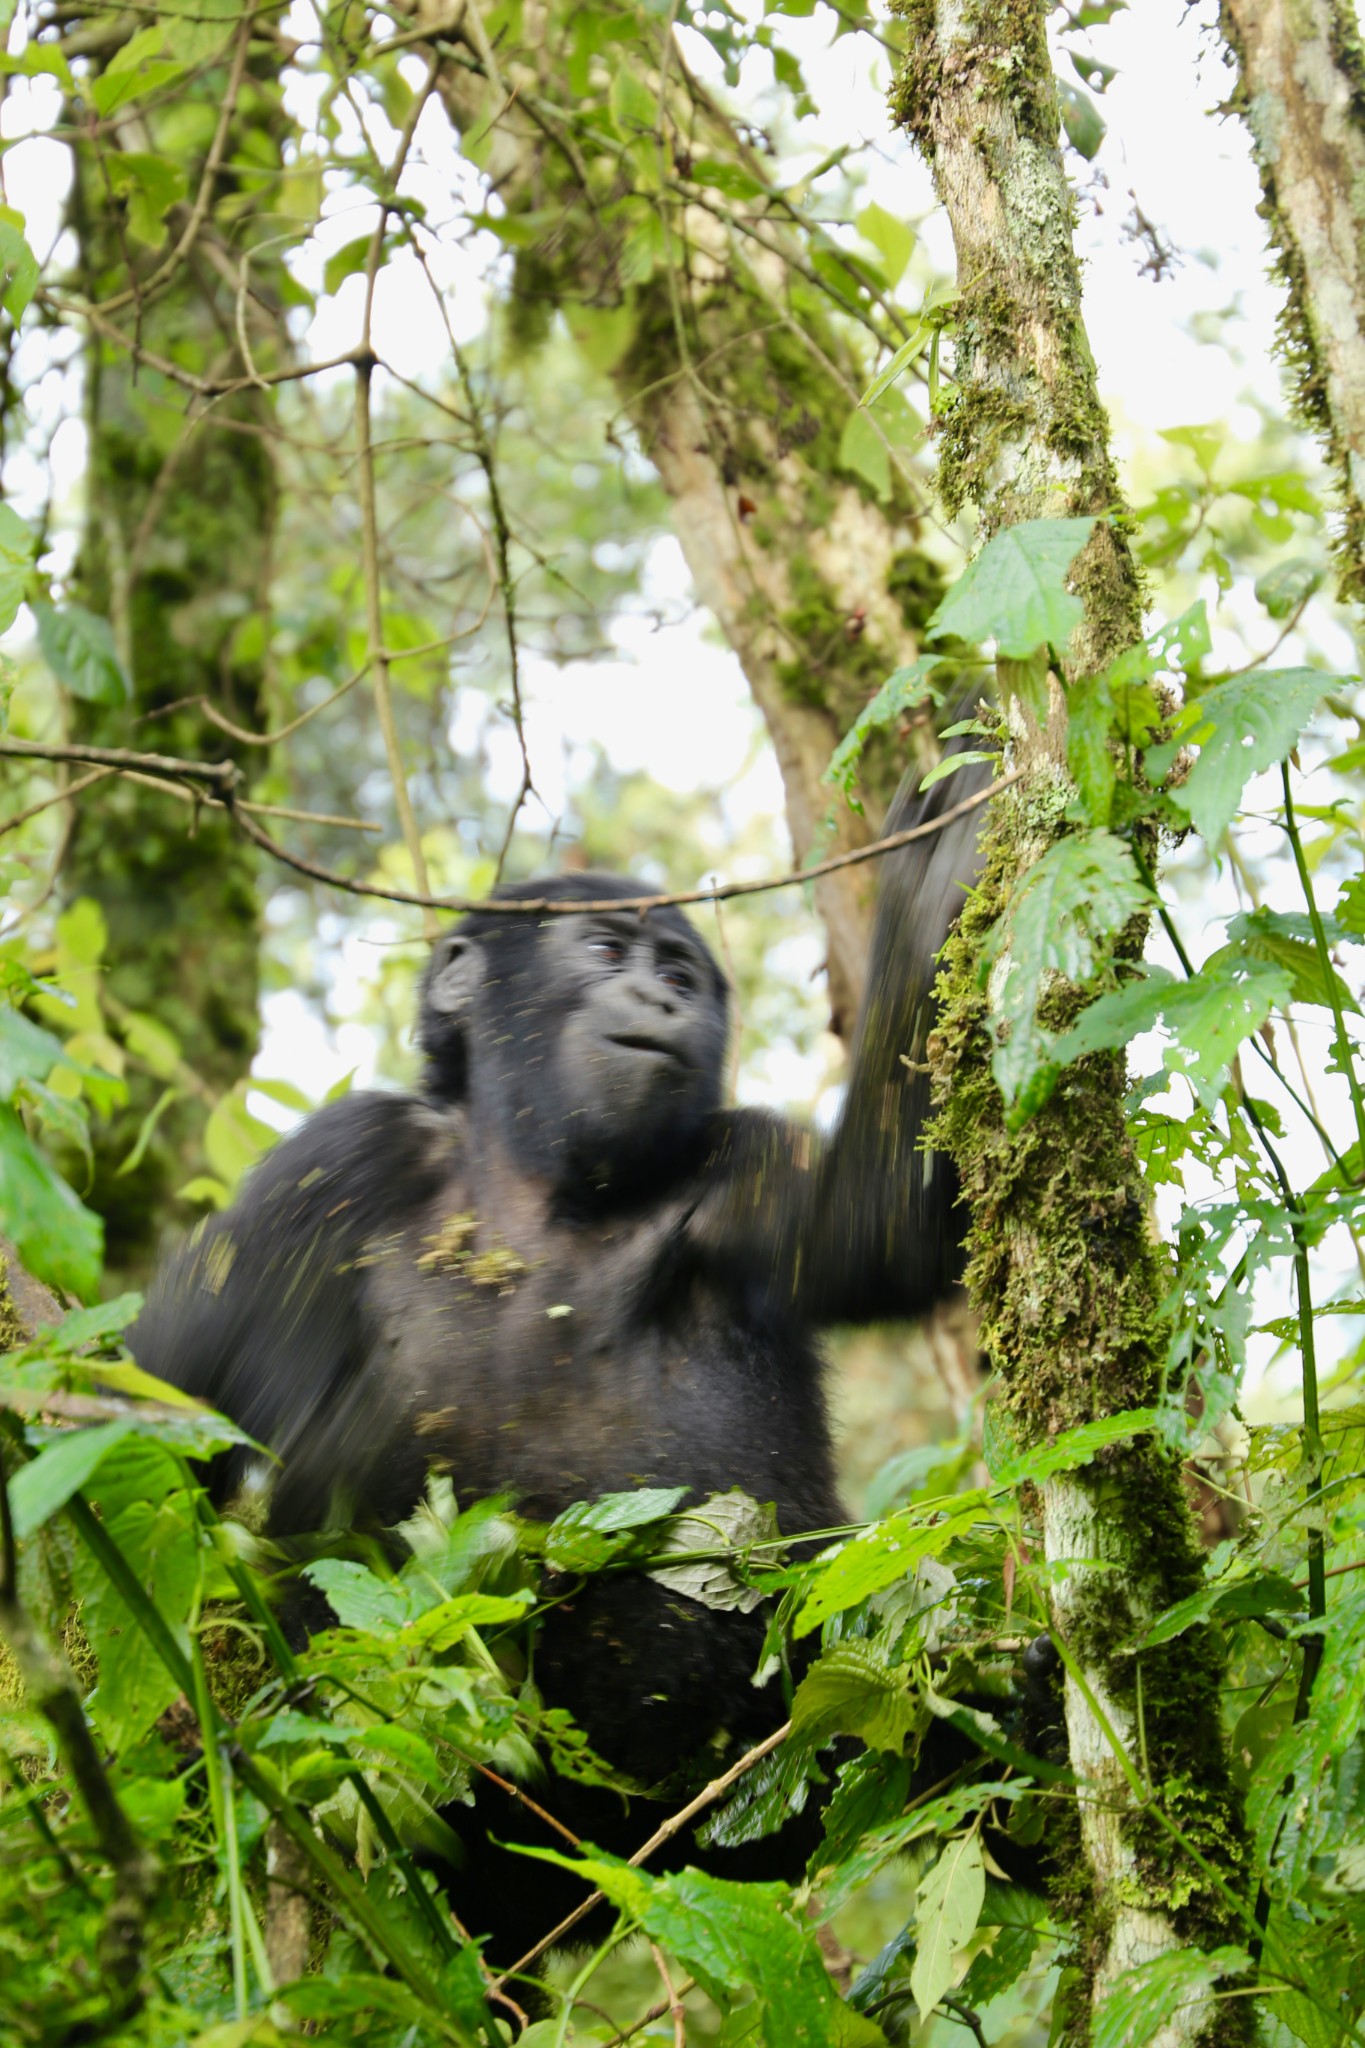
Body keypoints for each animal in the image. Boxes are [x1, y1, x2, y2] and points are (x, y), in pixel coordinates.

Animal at [130, 765, 994, 1966]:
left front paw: (925, 899)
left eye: (678, 972)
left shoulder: (730, 1163)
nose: (665, 1000)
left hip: (773, 1775)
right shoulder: (331, 1163)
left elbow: (890, 1221)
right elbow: (149, 1395)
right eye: (601, 951)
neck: (533, 1184)